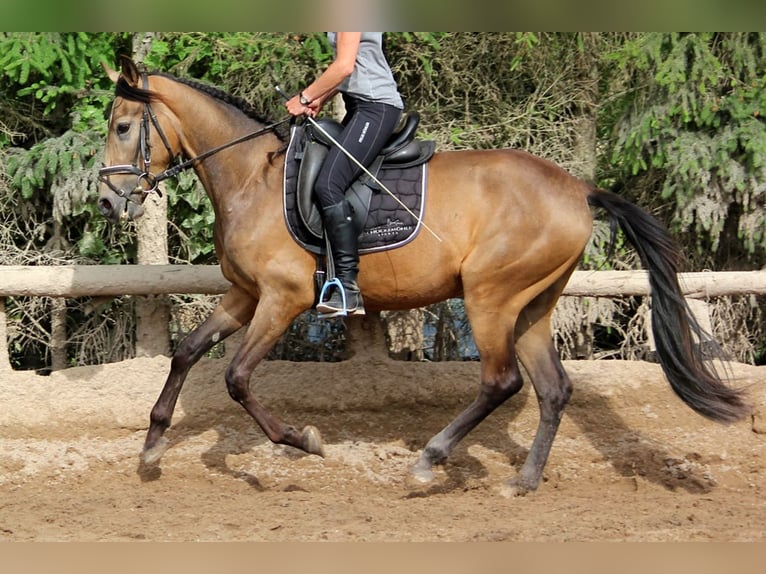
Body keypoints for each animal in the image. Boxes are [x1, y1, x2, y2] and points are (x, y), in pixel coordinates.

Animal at [96, 59, 752, 500]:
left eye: (124, 127)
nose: (106, 202)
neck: (251, 178)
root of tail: (577, 189)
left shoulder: (282, 299)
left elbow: (235, 377)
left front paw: (304, 440)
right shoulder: (244, 294)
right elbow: (186, 352)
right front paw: (152, 446)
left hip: (490, 298)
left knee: (501, 382)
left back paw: (429, 460)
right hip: (532, 307)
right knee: (553, 389)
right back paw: (523, 481)